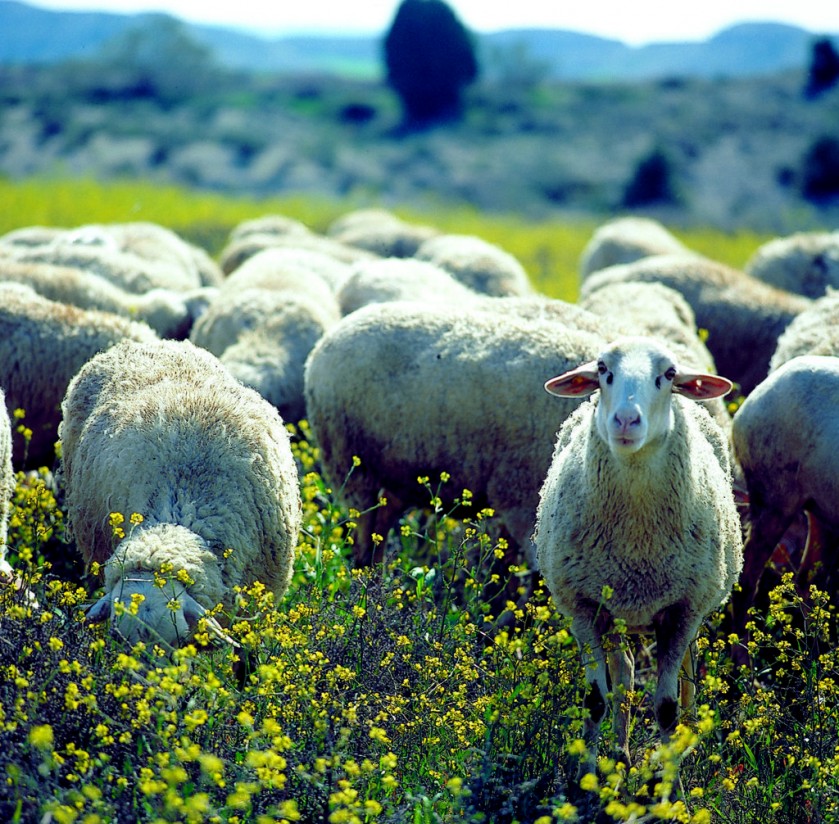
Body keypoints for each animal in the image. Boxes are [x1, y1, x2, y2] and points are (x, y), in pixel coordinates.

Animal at [536, 334, 744, 772]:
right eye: (602, 369)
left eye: (668, 374)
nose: (626, 421)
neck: (637, 544)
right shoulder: (583, 607)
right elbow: (595, 701)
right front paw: (585, 776)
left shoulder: (684, 609)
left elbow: (665, 707)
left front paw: (671, 782)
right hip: (615, 611)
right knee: (626, 672)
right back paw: (621, 754)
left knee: (688, 672)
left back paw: (688, 739)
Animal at [728, 354, 839, 664]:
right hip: (774, 500)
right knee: (746, 581)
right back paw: (742, 664)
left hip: (819, 506)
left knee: (805, 580)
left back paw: (818, 651)